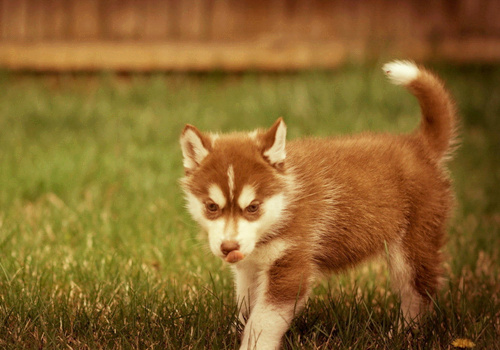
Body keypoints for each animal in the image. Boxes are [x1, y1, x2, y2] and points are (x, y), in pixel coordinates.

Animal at [179, 61, 458, 348]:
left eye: (253, 207)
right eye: (211, 207)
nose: (228, 248)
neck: (284, 204)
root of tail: (418, 145)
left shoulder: (291, 265)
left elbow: (263, 319)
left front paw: (253, 344)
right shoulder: (250, 267)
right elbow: (247, 306)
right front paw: (235, 331)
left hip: (412, 245)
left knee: (419, 292)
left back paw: (402, 334)